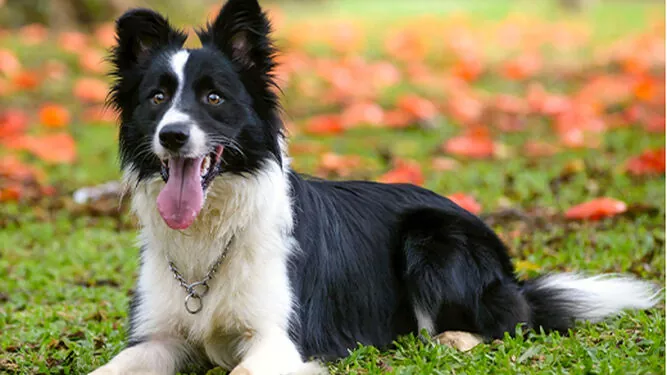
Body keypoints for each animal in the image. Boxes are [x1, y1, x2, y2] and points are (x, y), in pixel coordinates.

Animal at [91, 1, 660, 374]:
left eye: (213, 97)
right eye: (157, 98)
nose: (172, 135)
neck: (211, 236)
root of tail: (511, 274)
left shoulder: (281, 339)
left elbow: (244, 368)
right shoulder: (160, 335)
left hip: (433, 238)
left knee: (503, 322)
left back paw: (451, 338)